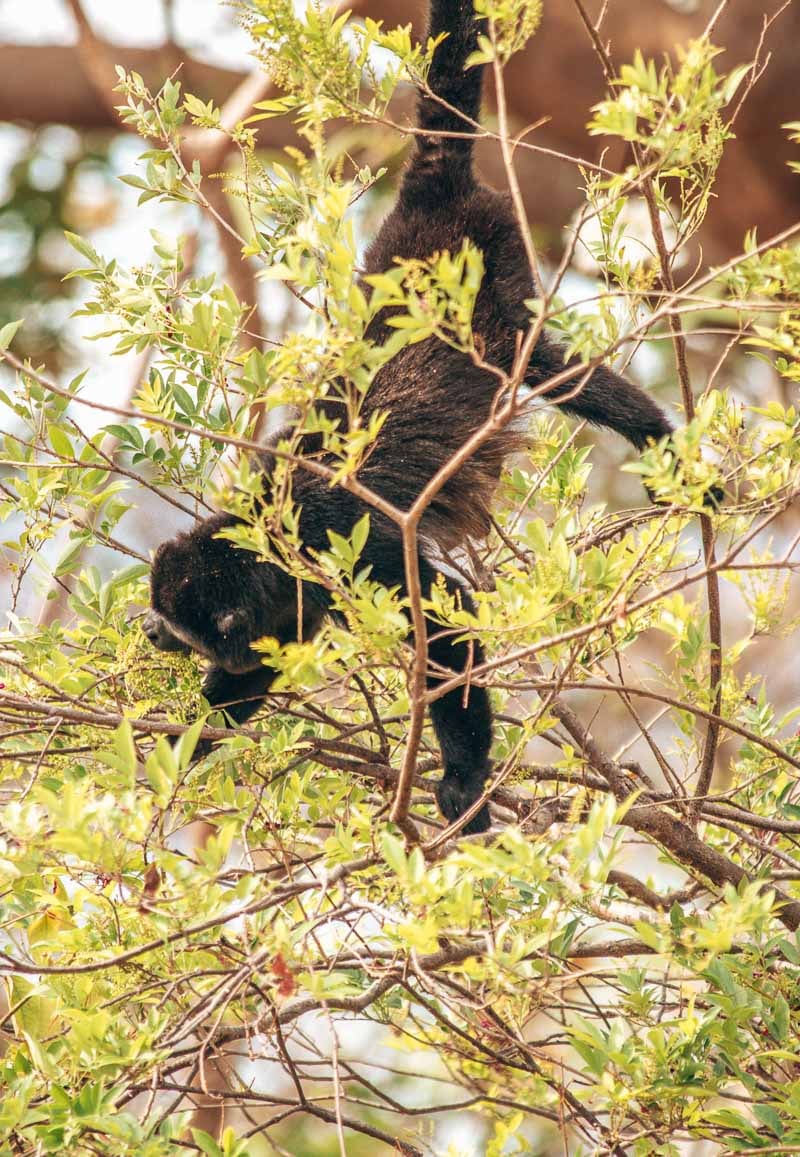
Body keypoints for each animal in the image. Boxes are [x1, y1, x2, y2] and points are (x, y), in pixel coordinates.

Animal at [144, 0, 675, 834]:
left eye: (172, 624)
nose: (146, 629)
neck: (266, 542)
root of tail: (429, 198)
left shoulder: (354, 549)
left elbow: (447, 627)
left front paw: (462, 781)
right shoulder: (291, 594)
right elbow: (257, 669)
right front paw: (170, 754)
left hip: (498, 278)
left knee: (553, 371)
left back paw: (664, 448)